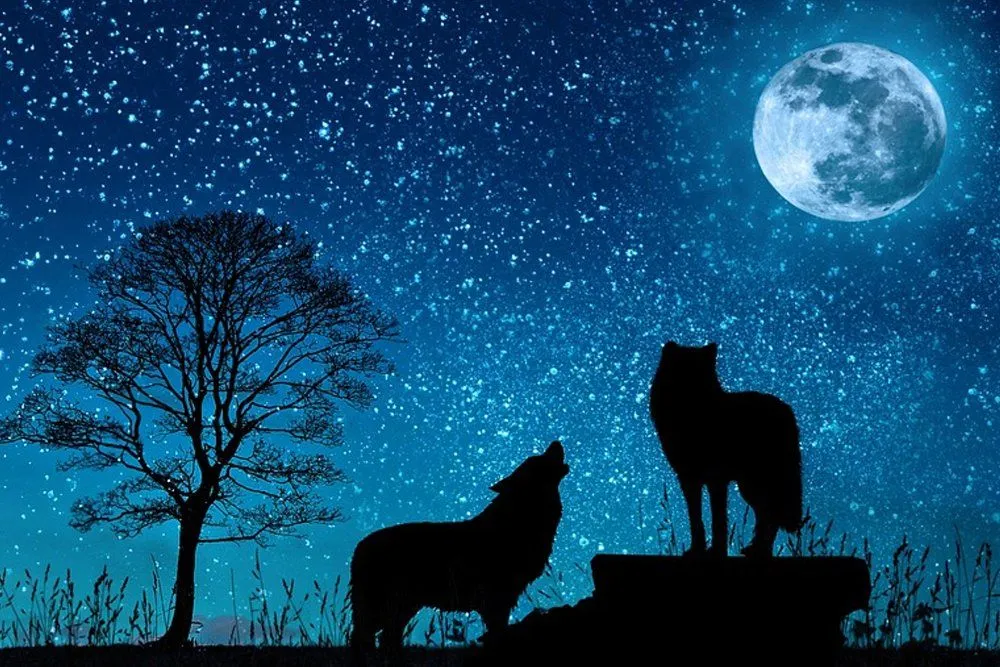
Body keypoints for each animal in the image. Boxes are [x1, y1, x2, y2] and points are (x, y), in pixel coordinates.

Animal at [349, 440, 569, 654]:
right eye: (537, 460)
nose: (556, 441)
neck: (520, 518)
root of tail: (359, 546)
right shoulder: (496, 595)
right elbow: (497, 630)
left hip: (403, 606)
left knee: (386, 638)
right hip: (383, 605)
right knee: (363, 636)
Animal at [649, 342, 802, 558]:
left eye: (699, 372)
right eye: (680, 369)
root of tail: (787, 410)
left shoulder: (716, 479)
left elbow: (718, 519)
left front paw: (717, 551)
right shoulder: (689, 479)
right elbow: (696, 518)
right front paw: (697, 550)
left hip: (757, 482)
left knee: (771, 514)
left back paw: (759, 551)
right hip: (750, 486)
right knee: (766, 514)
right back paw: (756, 550)